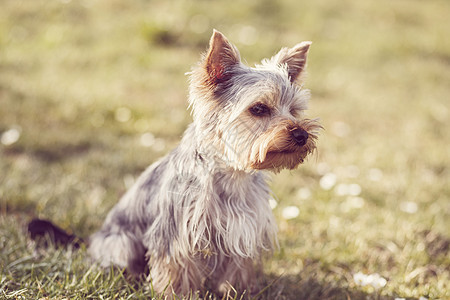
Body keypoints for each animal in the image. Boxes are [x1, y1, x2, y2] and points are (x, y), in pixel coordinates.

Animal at [29, 29, 322, 296]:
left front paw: (235, 293)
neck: (232, 174)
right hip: (120, 242)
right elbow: (176, 271)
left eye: (294, 110)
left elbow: (236, 272)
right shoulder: (177, 234)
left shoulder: (242, 231)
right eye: (259, 109)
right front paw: (177, 294)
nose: (301, 135)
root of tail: (90, 240)